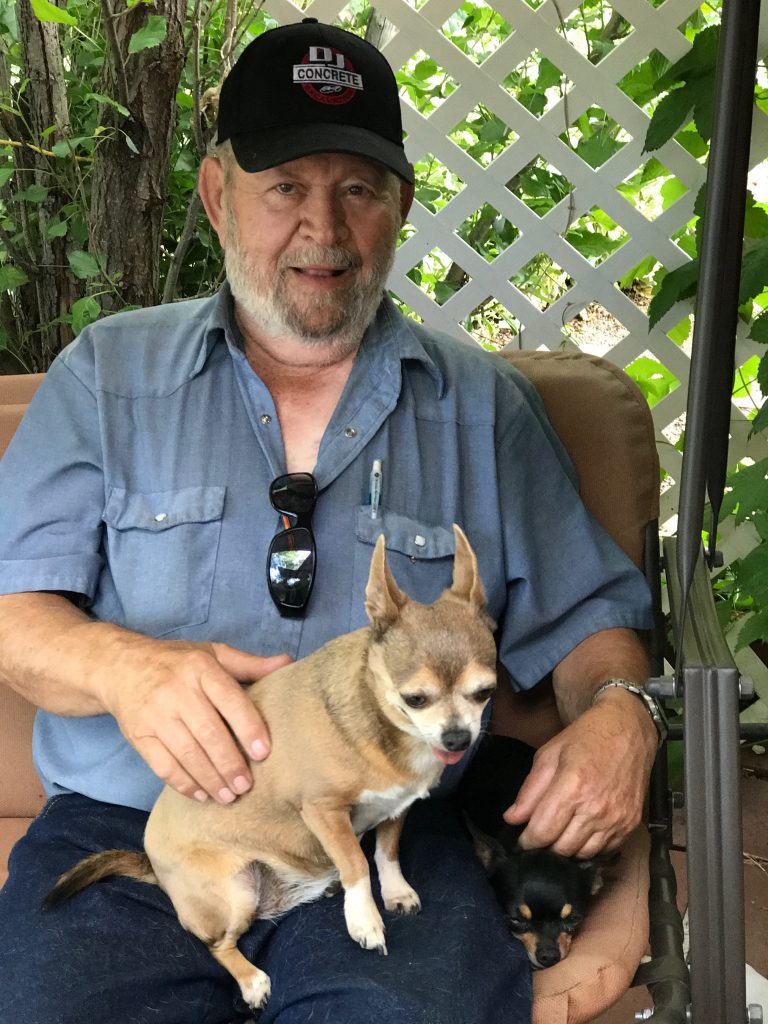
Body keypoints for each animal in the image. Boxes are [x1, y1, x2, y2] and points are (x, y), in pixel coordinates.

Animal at [44, 524, 498, 1013]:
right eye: (416, 699)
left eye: (485, 692)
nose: (457, 739)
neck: (389, 727)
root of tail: (154, 867)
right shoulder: (324, 812)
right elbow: (357, 861)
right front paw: (364, 919)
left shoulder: (397, 809)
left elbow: (385, 852)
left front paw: (395, 892)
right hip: (235, 889)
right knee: (218, 945)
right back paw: (251, 980)